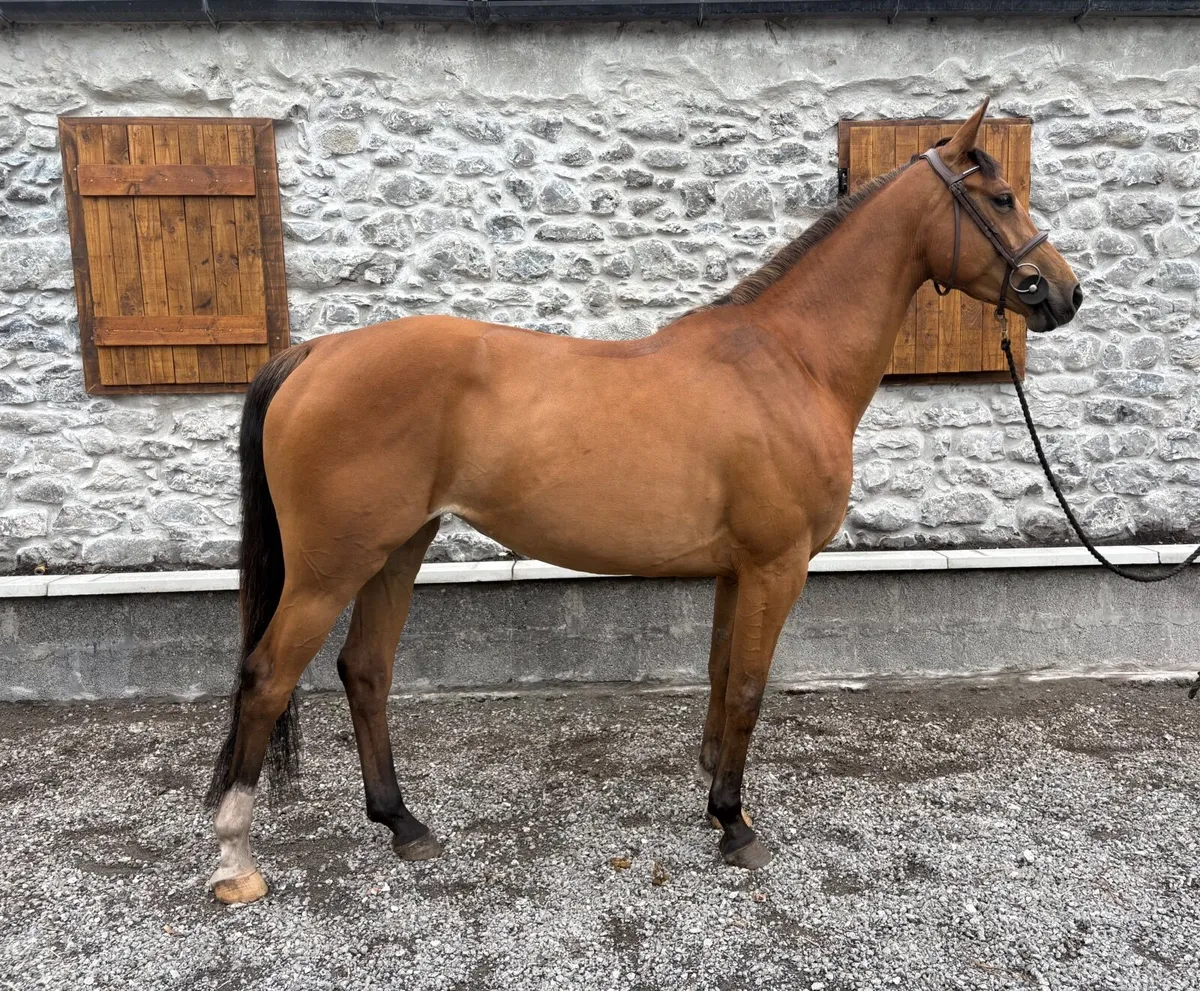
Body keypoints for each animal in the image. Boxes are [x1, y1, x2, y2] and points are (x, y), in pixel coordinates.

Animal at [204, 99, 1081, 903]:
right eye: (1002, 198)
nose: (1065, 293)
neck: (789, 361)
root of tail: (316, 352)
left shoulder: (738, 569)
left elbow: (723, 673)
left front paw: (716, 794)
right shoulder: (778, 564)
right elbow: (752, 685)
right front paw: (735, 825)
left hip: (398, 547)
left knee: (365, 670)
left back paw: (403, 823)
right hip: (332, 567)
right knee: (267, 677)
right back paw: (236, 858)